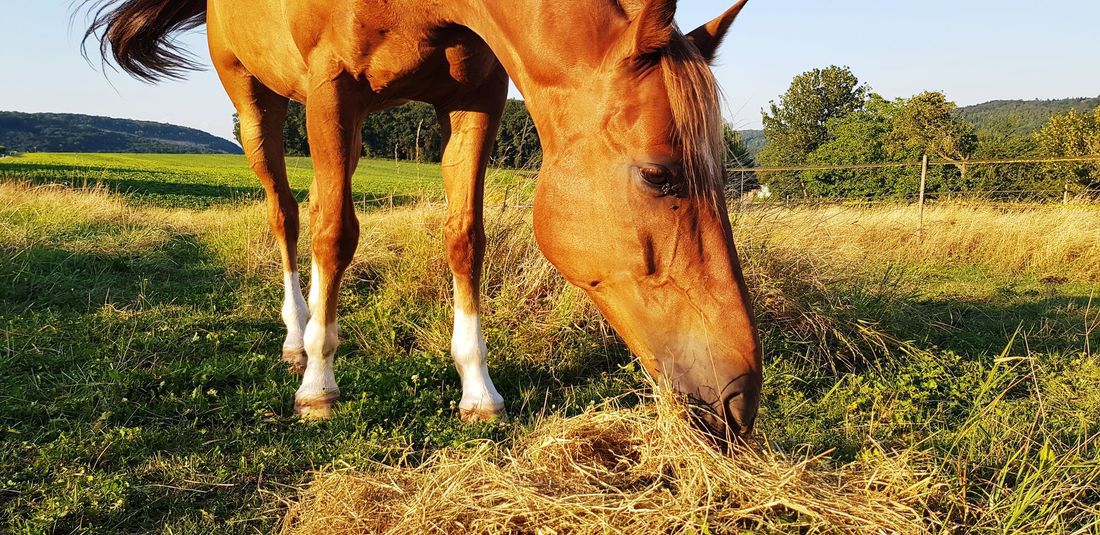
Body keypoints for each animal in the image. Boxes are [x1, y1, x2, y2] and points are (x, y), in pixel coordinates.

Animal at [84, 0, 762, 439]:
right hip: (258, 99)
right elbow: (336, 235)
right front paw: (319, 386)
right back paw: (298, 341)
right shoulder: (332, 88)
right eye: (658, 175)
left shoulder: (476, 99)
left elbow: (465, 238)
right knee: (288, 215)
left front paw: (478, 390)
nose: (740, 397)